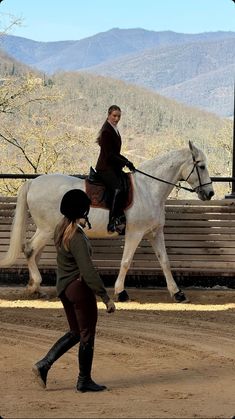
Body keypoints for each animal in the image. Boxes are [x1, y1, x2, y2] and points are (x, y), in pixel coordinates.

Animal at [0, 142, 214, 302]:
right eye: (201, 166)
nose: (210, 193)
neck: (148, 188)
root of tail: (33, 182)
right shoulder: (135, 233)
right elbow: (126, 262)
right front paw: (121, 292)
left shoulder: (155, 233)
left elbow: (165, 262)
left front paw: (177, 293)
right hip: (46, 229)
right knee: (29, 249)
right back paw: (35, 284)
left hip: (46, 229)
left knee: (33, 252)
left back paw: (34, 288)